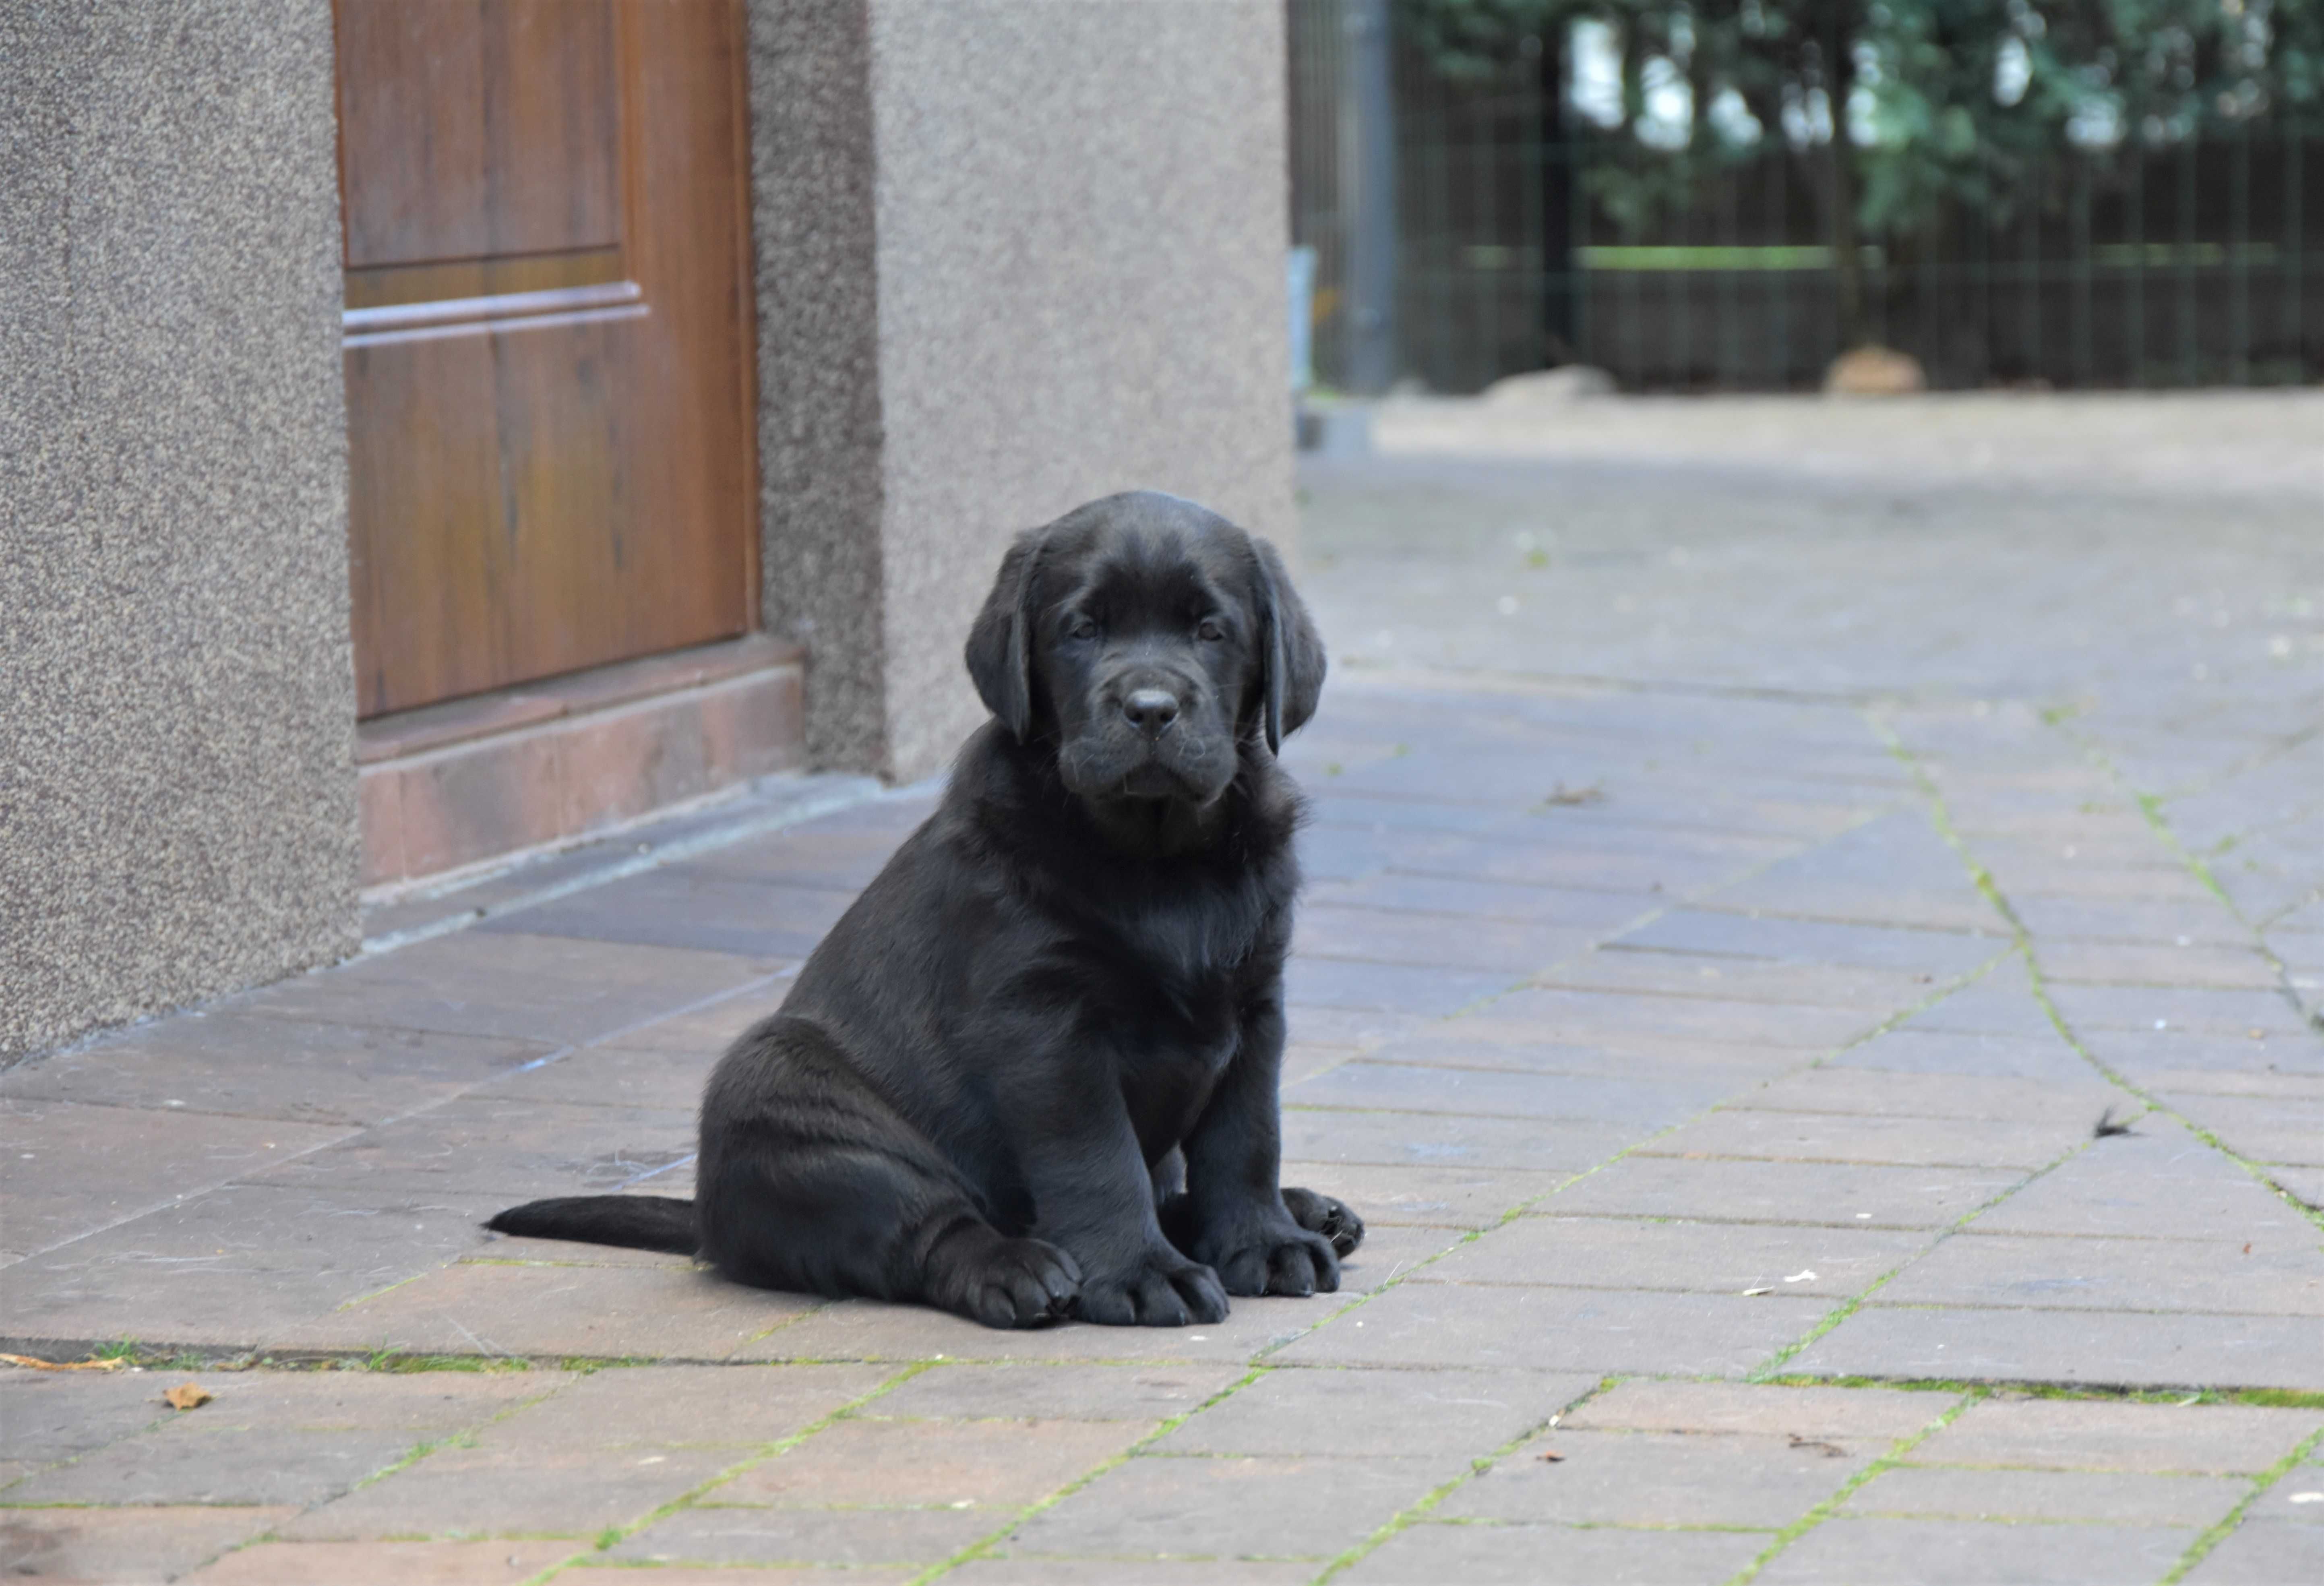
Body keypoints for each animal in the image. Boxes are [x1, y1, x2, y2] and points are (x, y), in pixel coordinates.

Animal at [492, 486, 1357, 1321]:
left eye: (1211, 630)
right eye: (1081, 629)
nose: (1149, 707)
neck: (1158, 859)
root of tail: (707, 1218)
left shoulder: (1254, 1002)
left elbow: (1245, 1137)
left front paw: (1263, 1240)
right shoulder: (1046, 1025)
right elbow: (1097, 1158)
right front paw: (1141, 1272)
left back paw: (1305, 1209)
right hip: (783, 1087)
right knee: (931, 1227)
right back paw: (1018, 1268)